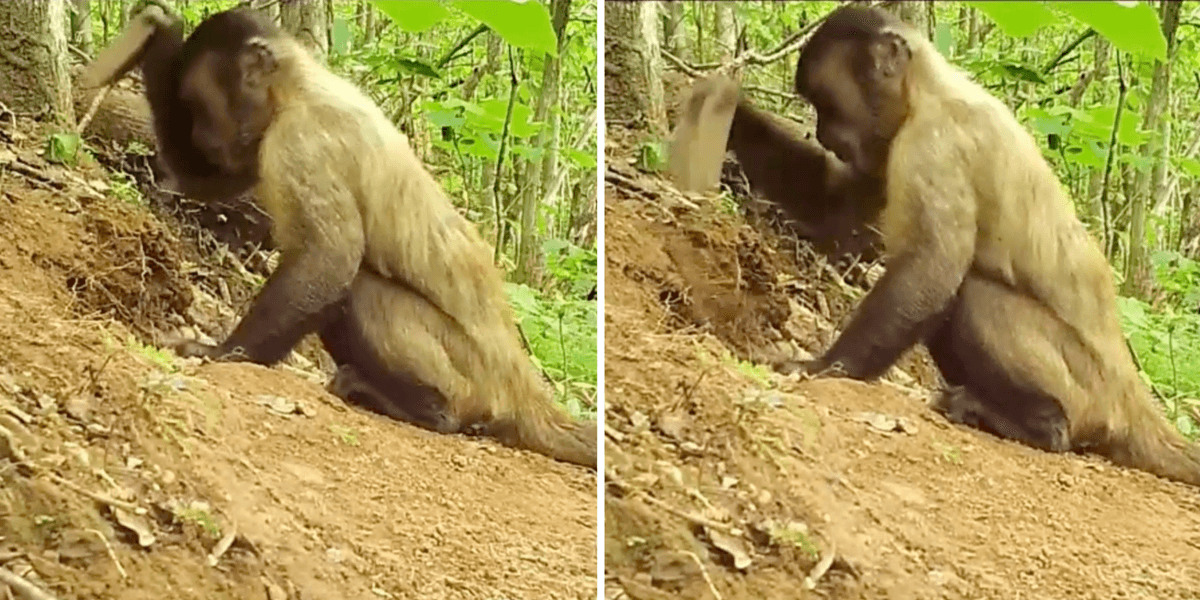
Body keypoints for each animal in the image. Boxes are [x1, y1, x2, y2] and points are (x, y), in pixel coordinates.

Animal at [81, 5, 597, 469]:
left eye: (201, 105)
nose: (206, 134)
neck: (300, 87)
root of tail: (523, 385)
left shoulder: (302, 139)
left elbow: (328, 259)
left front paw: (224, 353)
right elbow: (209, 181)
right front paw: (159, 38)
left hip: (474, 374)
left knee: (356, 288)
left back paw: (433, 411)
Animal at [778, 6, 1200, 486]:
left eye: (828, 107)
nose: (822, 134)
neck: (929, 87)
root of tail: (1131, 396)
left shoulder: (934, 143)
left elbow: (931, 268)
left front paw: (827, 366)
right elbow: (835, 209)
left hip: (1089, 392)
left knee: (968, 293)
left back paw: (1042, 425)